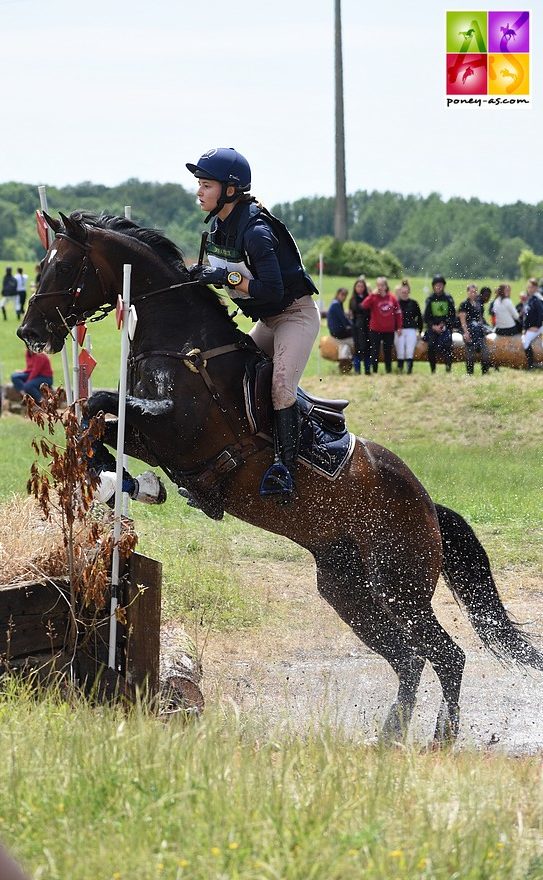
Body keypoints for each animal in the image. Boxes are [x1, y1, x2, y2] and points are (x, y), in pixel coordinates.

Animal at [18, 211, 543, 744]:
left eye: (64, 267)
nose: (27, 331)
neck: (182, 343)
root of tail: (429, 505)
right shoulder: (151, 435)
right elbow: (89, 421)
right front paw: (124, 483)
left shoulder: (179, 432)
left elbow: (99, 405)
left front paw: (124, 482)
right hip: (349, 590)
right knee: (410, 659)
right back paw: (390, 736)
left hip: (401, 585)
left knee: (445, 655)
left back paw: (440, 737)